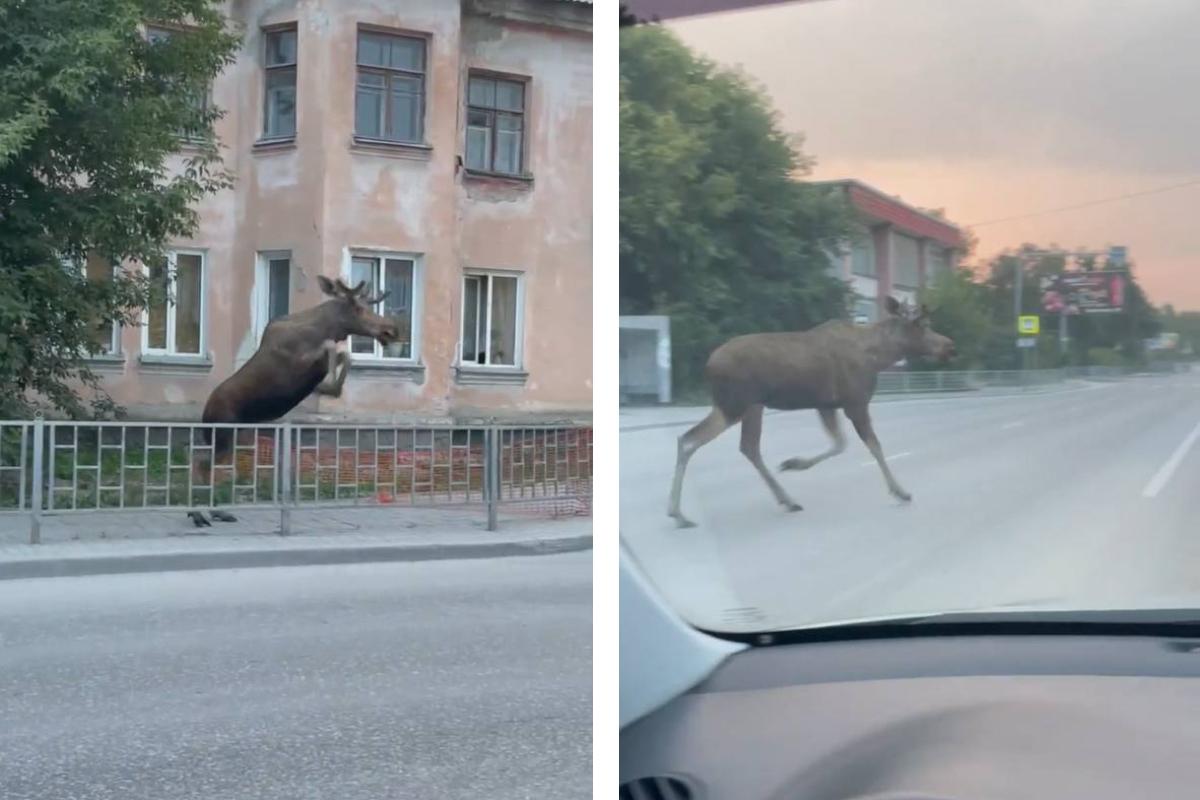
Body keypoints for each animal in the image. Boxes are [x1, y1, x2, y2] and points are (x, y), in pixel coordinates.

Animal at [187, 278, 400, 527]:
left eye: (368, 304)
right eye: (357, 307)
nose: (391, 329)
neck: (323, 328)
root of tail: (205, 414)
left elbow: (345, 356)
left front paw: (330, 388)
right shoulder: (298, 363)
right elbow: (331, 348)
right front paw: (330, 386)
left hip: (233, 436)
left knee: (217, 468)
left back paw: (218, 512)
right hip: (223, 433)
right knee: (200, 463)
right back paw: (198, 514)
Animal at [667, 297, 955, 527]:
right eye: (920, 324)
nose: (949, 345)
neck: (878, 357)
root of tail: (708, 365)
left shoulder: (826, 404)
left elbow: (839, 443)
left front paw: (794, 462)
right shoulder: (855, 402)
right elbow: (874, 446)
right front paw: (901, 492)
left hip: (748, 405)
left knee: (741, 446)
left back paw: (786, 499)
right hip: (736, 404)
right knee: (693, 440)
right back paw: (678, 513)